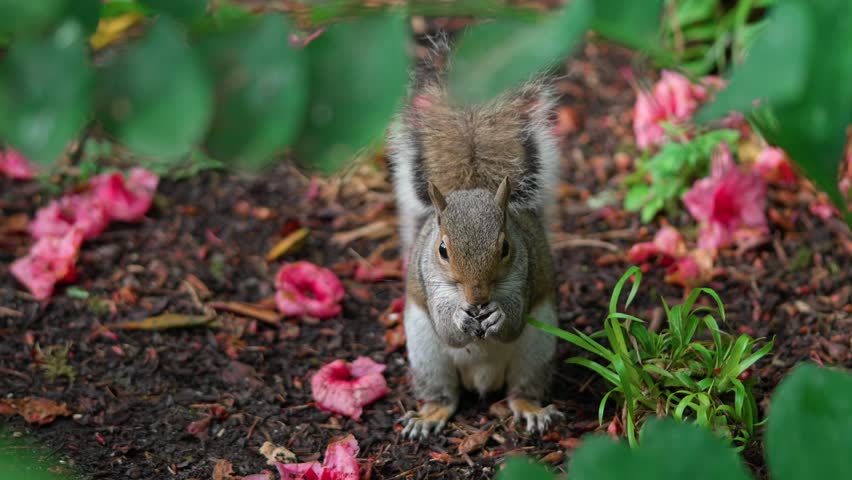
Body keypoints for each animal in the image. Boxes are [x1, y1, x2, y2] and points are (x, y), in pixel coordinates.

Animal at [387, 36, 563, 438]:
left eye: (506, 247)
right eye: (442, 249)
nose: (478, 297)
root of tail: (483, 378)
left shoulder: (525, 274)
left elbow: (513, 321)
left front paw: (497, 314)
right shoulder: (430, 281)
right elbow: (447, 327)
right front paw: (460, 319)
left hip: (538, 348)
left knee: (521, 389)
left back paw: (532, 409)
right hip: (426, 355)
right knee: (444, 395)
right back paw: (429, 416)